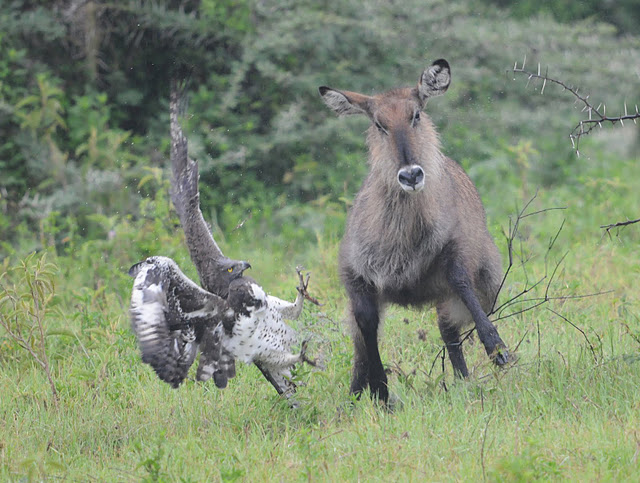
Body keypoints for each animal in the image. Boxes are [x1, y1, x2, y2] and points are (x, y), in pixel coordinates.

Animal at [320, 58, 510, 402]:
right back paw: (355, 393)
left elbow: (461, 282)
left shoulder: (456, 250)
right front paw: (380, 391)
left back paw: (463, 381)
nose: (410, 175)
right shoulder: (355, 276)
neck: (402, 245)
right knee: (360, 345)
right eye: (379, 124)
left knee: (449, 332)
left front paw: (497, 347)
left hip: (477, 287)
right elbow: (367, 329)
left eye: (416, 115)